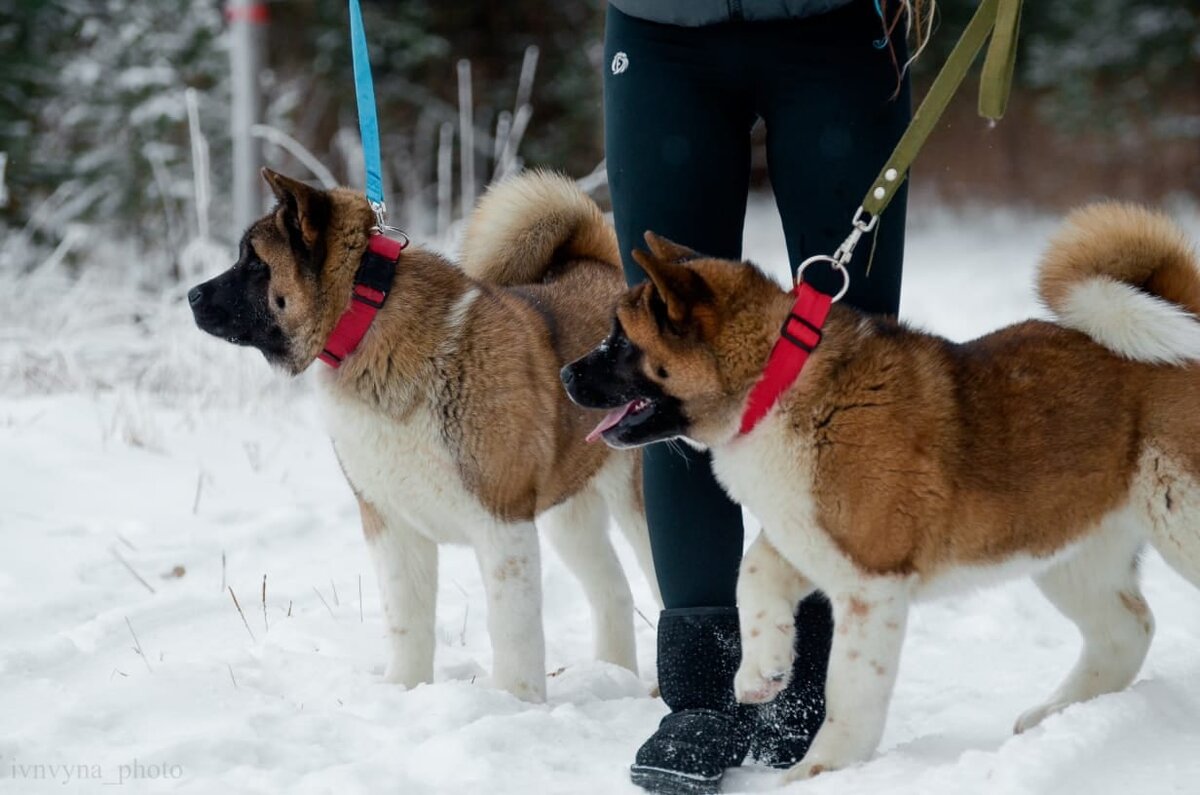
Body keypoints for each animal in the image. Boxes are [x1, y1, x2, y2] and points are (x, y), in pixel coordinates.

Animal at [189, 169, 657, 706]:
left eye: (254, 263)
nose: (192, 296)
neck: (368, 320)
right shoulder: (390, 522)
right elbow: (406, 619)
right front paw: (403, 689)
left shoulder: (503, 521)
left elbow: (512, 628)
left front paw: (514, 704)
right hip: (570, 513)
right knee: (612, 590)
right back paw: (616, 677)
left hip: (636, 504)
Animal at [561, 204, 1200, 778]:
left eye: (622, 342)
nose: (566, 373)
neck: (777, 383)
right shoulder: (810, 538)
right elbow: (754, 572)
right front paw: (762, 669)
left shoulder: (872, 581)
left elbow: (849, 688)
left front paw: (822, 769)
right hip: (1065, 547)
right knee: (1128, 629)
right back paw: (1058, 714)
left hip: (1177, 521)